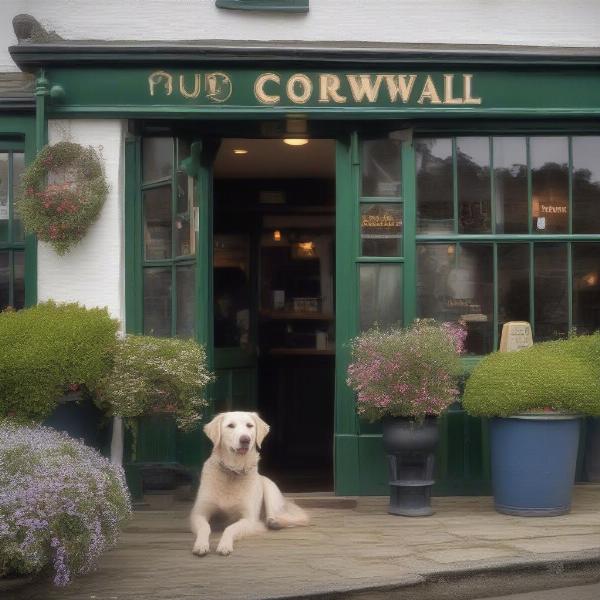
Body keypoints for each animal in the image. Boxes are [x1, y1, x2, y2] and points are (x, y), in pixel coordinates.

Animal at [189, 410, 310, 556]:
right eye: (230, 426)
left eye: (249, 425)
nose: (245, 439)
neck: (233, 471)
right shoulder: (199, 513)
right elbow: (205, 527)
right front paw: (201, 544)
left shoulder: (249, 519)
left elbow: (230, 528)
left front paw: (224, 545)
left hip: (270, 492)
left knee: (284, 517)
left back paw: (274, 522)